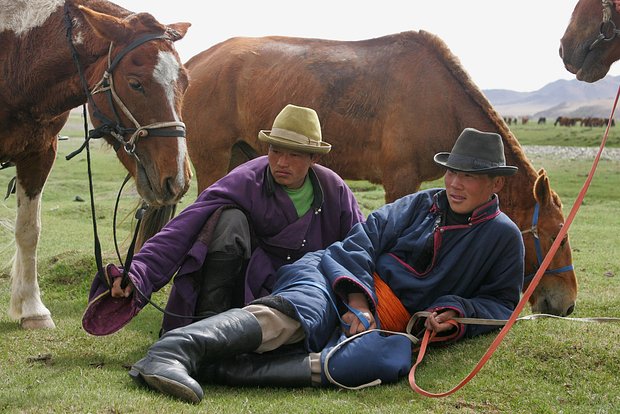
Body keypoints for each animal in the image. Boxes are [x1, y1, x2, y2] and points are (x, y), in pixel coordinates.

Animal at [0, 0, 191, 330]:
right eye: (135, 84)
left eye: (186, 82)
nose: (177, 179)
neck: (17, 59)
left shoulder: (39, 154)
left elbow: (29, 231)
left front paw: (33, 309)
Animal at [177, 31, 580, 316]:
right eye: (555, 236)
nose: (568, 304)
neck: (440, 100)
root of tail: (197, 61)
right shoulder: (400, 181)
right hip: (213, 160)